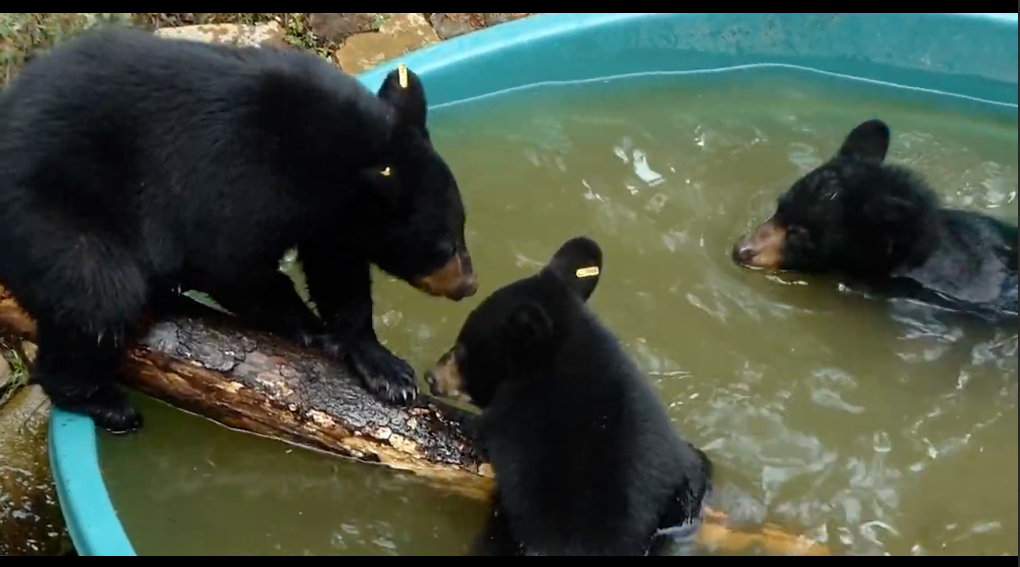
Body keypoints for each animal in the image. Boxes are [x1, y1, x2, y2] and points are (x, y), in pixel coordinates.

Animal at [0, 27, 477, 435]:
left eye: (461, 227)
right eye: (443, 245)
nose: (469, 284)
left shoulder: (329, 219)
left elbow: (338, 273)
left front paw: (385, 368)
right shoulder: (240, 176)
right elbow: (230, 262)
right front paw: (306, 325)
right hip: (49, 212)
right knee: (98, 292)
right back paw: (102, 401)